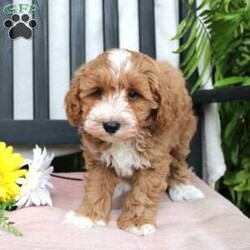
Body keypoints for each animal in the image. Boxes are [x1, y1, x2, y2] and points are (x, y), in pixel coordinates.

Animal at [63, 48, 204, 236]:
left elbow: (143, 194)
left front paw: (136, 222)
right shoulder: (99, 161)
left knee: (178, 162)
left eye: (133, 94)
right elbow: (96, 187)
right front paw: (87, 216)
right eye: (98, 92)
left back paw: (181, 187)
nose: (110, 125)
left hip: (181, 136)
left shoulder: (154, 161)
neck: (124, 140)